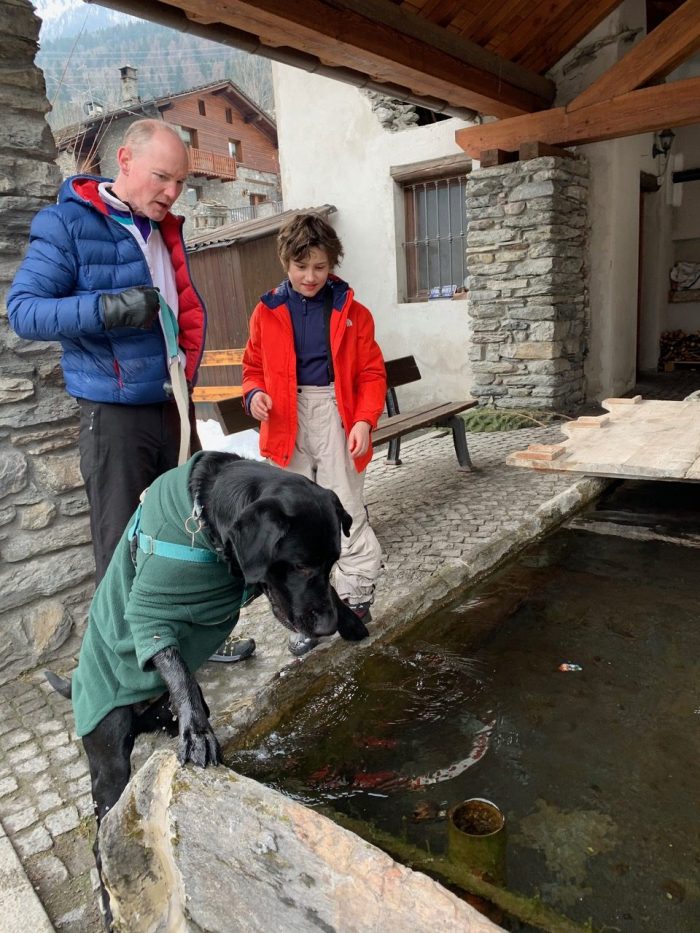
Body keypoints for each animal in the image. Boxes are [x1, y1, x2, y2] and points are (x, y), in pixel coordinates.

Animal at [46, 452, 370, 924]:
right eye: (301, 565)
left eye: (331, 564)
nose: (327, 627)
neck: (203, 524)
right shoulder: (150, 612)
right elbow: (176, 665)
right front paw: (197, 732)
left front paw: (348, 616)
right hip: (108, 765)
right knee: (102, 836)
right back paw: (109, 905)